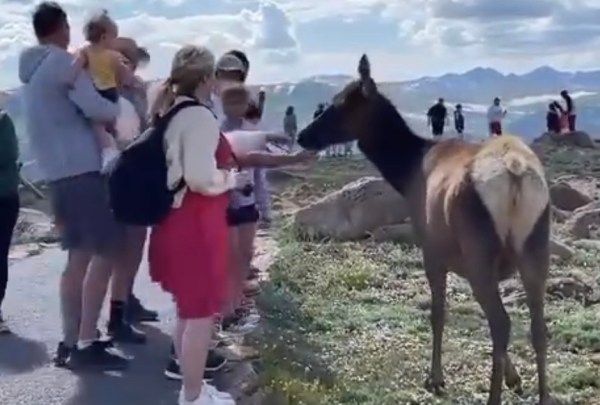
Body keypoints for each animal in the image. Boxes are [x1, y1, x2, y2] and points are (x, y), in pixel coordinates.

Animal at [298, 54, 556, 404]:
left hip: (479, 246)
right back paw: (542, 394)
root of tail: (514, 173)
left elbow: (437, 312)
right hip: (536, 243)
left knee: (501, 323)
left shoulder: (431, 248)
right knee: (537, 326)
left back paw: (493, 396)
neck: (406, 173)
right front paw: (515, 378)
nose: (302, 136)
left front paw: (435, 378)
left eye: (339, 103)